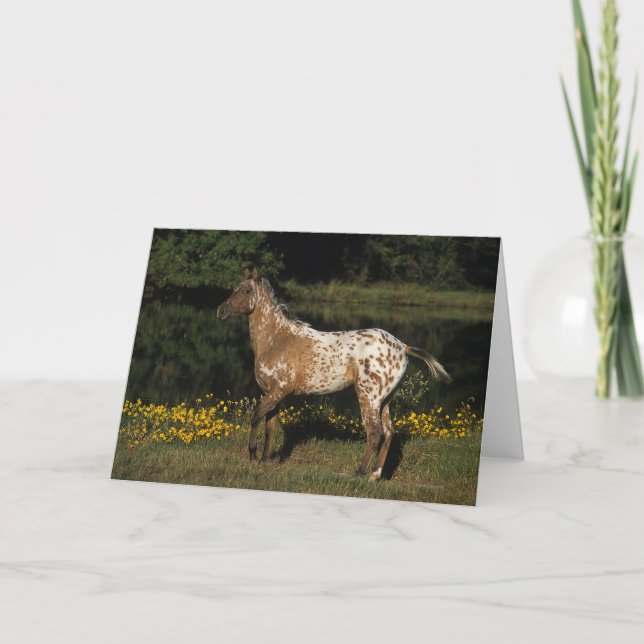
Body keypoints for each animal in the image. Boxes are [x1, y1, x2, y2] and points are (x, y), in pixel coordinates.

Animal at [216, 268, 451, 481]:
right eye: (234, 288)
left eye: (246, 290)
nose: (221, 311)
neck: (276, 340)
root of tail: (402, 346)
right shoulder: (275, 395)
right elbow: (270, 427)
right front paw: (265, 460)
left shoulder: (279, 391)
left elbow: (255, 417)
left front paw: (253, 455)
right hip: (385, 400)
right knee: (389, 431)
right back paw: (375, 475)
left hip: (368, 396)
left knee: (375, 432)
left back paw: (359, 473)